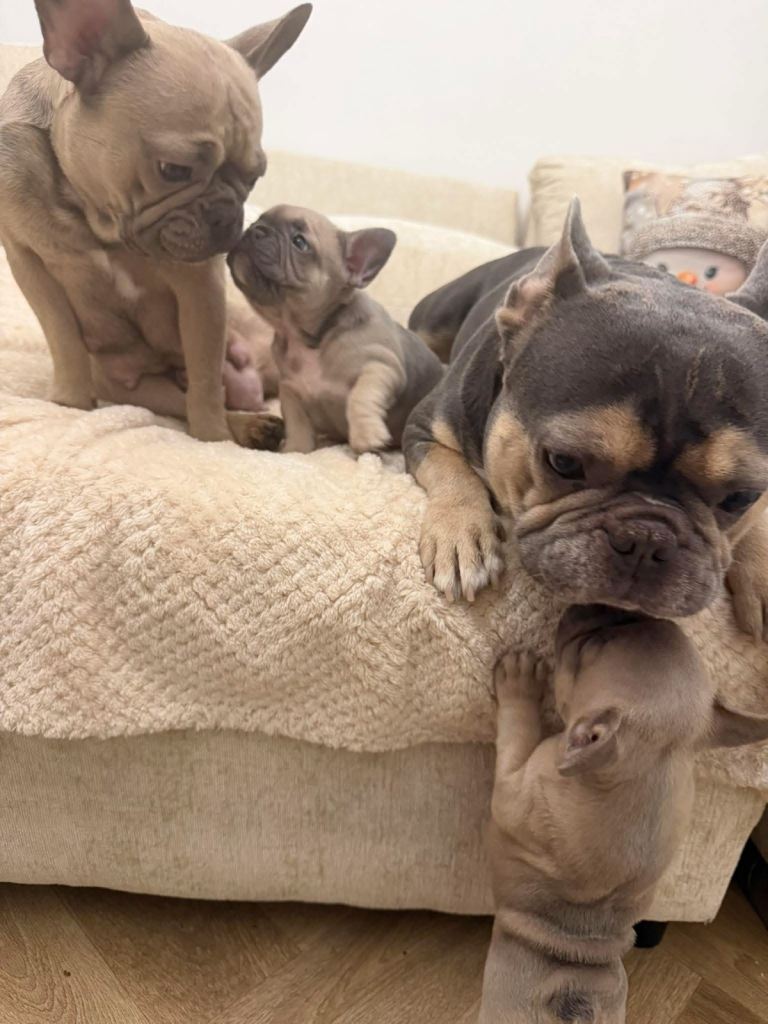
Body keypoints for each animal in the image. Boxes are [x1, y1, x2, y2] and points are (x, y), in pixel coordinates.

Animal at [0, 0, 312, 448]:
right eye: (173, 170)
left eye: (254, 178)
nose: (227, 215)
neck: (94, 216)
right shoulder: (29, 262)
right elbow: (63, 339)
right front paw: (70, 403)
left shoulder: (200, 287)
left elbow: (204, 377)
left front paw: (212, 439)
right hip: (126, 385)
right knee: (175, 398)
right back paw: (250, 425)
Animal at [227, 205, 444, 452]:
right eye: (260, 220)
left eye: (299, 242)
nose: (256, 229)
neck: (306, 338)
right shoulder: (290, 390)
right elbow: (296, 423)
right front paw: (295, 450)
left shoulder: (381, 367)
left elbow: (360, 395)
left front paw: (367, 434)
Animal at [403, 199, 768, 638]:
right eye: (563, 462)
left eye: (741, 497)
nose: (648, 538)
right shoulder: (424, 430)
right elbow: (453, 470)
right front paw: (461, 534)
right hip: (433, 318)